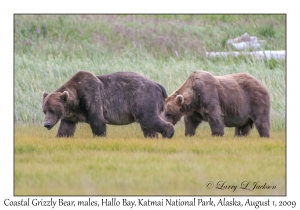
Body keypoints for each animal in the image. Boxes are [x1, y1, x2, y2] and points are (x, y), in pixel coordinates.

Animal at [42, 70, 173, 138]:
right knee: (147, 126)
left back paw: (168, 133)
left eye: (52, 110)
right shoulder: (71, 115)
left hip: (142, 99)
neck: (75, 103)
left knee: (148, 118)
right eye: (44, 110)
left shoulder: (92, 97)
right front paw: (61, 137)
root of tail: (158, 85)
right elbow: (66, 128)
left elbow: (98, 122)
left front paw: (99, 137)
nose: (46, 124)